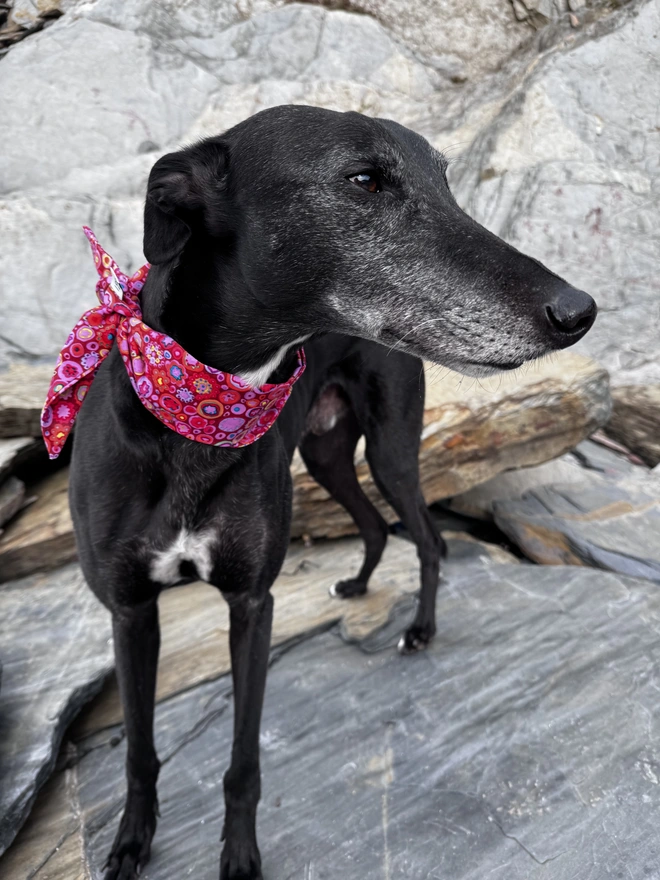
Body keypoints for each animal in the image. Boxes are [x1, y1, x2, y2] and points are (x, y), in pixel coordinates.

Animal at [64, 106, 596, 876]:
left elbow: (243, 763)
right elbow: (139, 749)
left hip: (391, 451)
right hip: (324, 456)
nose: (579, 311)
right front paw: (132, 842)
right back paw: (360, 585)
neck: (198, 410)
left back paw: (420, 629)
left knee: (426, 538)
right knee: (374, 526)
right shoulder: (130, 609)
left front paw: (240, 855)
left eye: (445, 181)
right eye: (365, 180)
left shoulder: (252, 605)